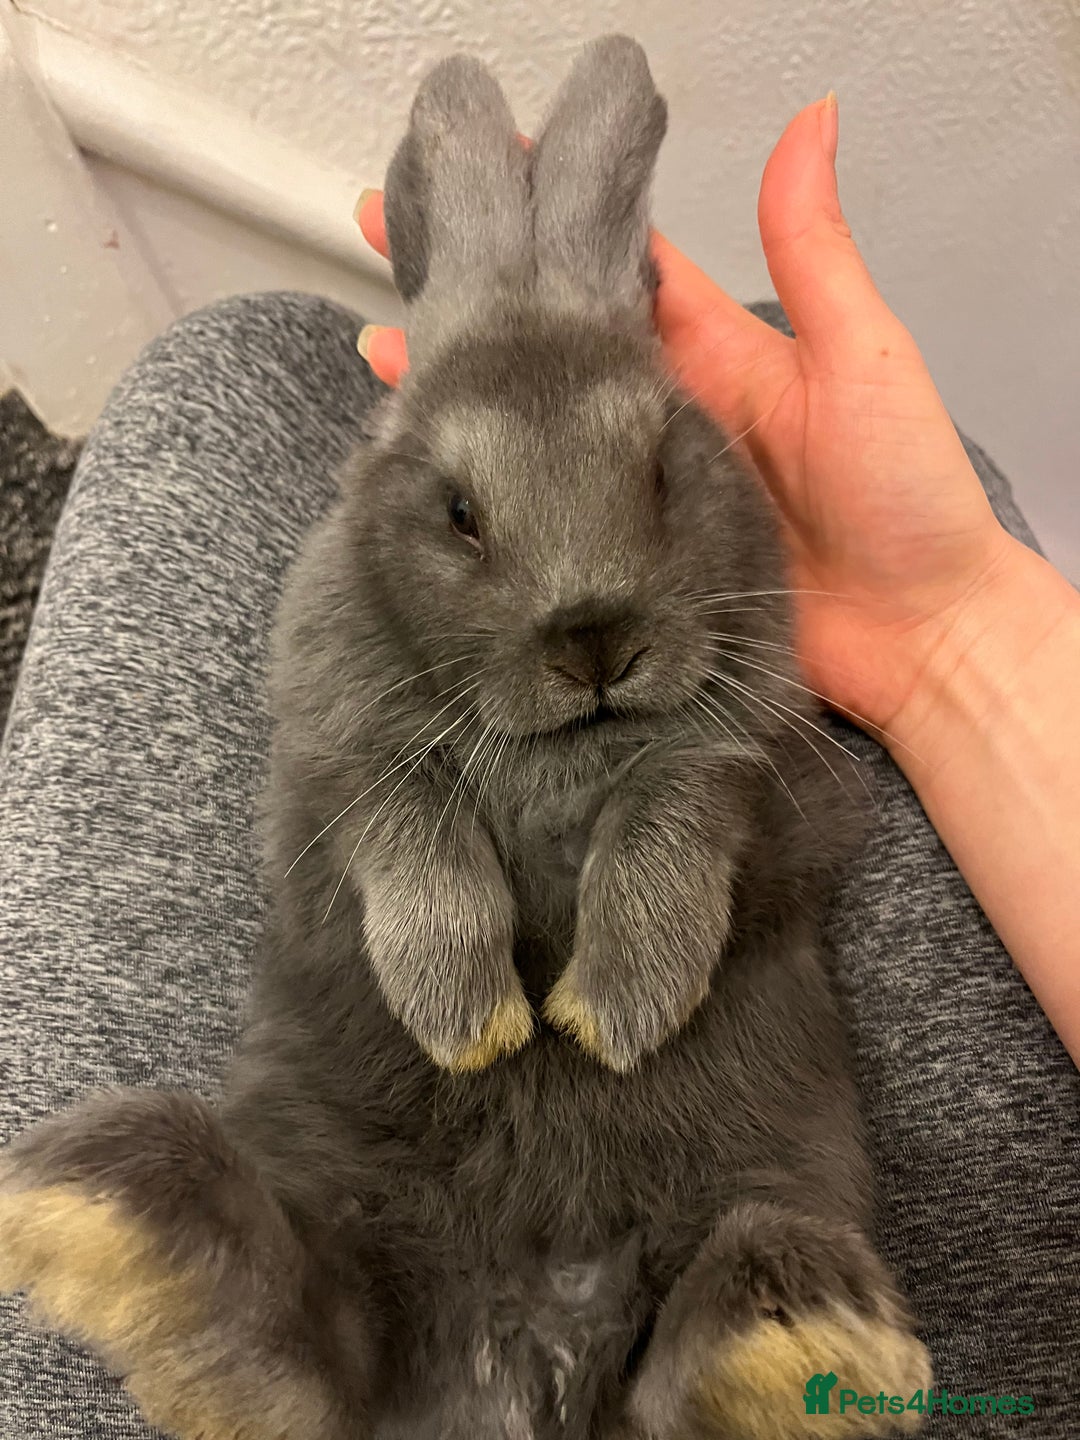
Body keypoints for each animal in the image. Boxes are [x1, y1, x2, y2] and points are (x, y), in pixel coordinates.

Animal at [0, 35, 932, 1440]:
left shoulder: (746, 760)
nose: (594, 638)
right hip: (341, 1222)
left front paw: (610, 1017)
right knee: (287, 1340)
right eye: (457, 513)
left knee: (698, 1346)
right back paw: (93, 1216)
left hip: (751, 1217)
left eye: (665, 470)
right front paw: (477, 1023)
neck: (557, 740)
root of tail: (522, 1359)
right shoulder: (341, 755)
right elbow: (417, 834)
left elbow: (668, 823)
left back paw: (791, 1339)